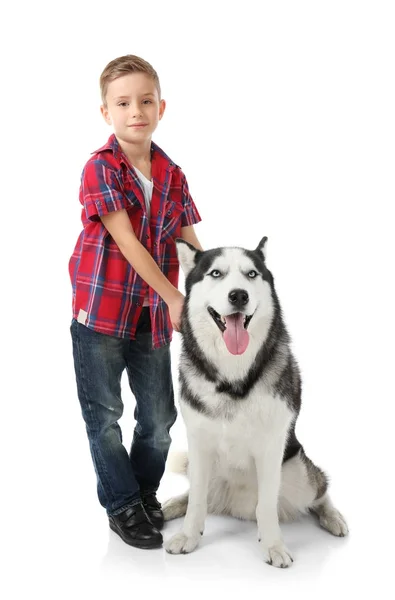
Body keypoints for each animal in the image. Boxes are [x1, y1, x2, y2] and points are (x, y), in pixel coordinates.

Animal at [164, 236, 350, 568]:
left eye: (251, 274)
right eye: (215, 273)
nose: (239, 295)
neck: (233, 377)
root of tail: (235, 506)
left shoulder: (271, 447)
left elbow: (267, 506)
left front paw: (273, 545)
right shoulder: (199, 442)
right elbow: (197, 500)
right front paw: (188, 535)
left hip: (299, 474)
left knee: (320, 489)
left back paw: (332, 517)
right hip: (206, 468)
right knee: (202, 496)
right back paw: (170, 506)